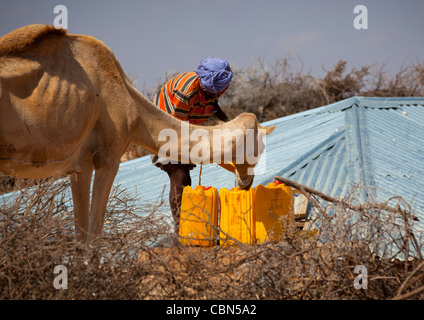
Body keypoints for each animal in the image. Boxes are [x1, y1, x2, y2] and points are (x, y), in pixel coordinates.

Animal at [0, 25, 274, 245]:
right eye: (258, 148)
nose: (246, 181)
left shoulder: (79, 165)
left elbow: (81, 239)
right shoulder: (109, 157)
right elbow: (94, 239)